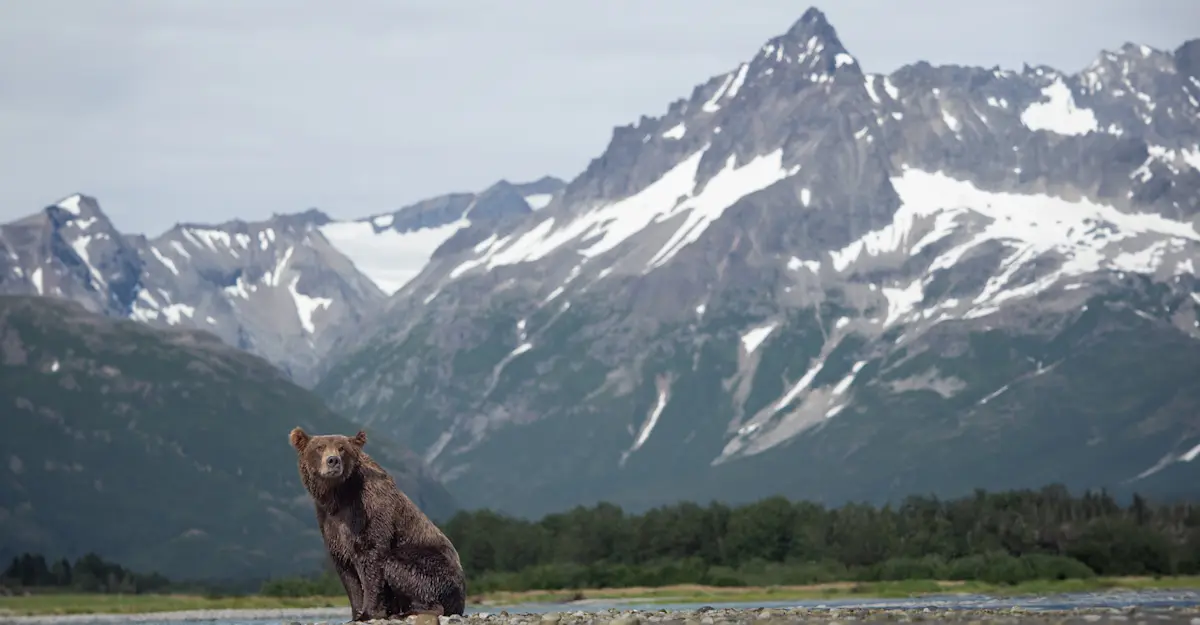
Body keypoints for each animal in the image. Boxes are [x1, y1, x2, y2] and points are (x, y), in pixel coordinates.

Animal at [289, 427, 467, 620]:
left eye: (342, 448)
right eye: (319, 447)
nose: (333, 460)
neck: (338, 496)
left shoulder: (368, 514)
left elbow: (372, 560)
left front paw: (368, 612)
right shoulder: (330, 524)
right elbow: (347, 573)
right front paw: (355, 614)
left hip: (435, 568)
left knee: (398, 565)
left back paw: (410, 611)